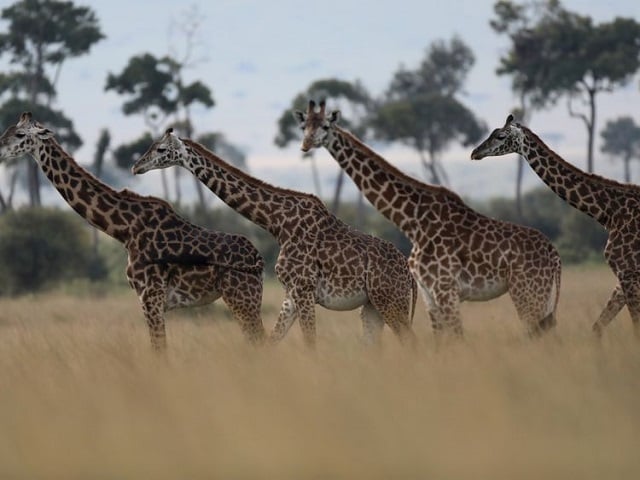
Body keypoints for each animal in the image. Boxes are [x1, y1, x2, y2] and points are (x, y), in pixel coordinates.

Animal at [0, 114, 264, 350]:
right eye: (8, 129)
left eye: (20, 134)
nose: (0, 150)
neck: (124, 229)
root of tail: (258, 258)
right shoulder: (149, 299)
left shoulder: (150, 296)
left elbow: (159, 351)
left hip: (242, 296)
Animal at [132, 127, 418, 346]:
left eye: (160, 149)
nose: (136, 167)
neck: (278, 224)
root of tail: (410, 278)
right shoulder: (291, 294)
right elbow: (272, 341)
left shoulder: (304, 289)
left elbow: (310, 343)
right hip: (372, 306)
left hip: (391, 301)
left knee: (412, 344)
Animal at [298, 100, 564, 338]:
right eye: (304, 126)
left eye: (324, 127)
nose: (305, 144)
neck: (412, 221)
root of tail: (555, 256)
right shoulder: (429, 294)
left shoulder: (445, 290)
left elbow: (457, 338)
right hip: (538, 295)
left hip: (528, 292)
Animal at [470, 114, 640, 336]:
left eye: (500, 136)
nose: (475, 152)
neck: (609, 213)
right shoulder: (623, 277)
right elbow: (597, 327)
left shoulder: (627, 271)